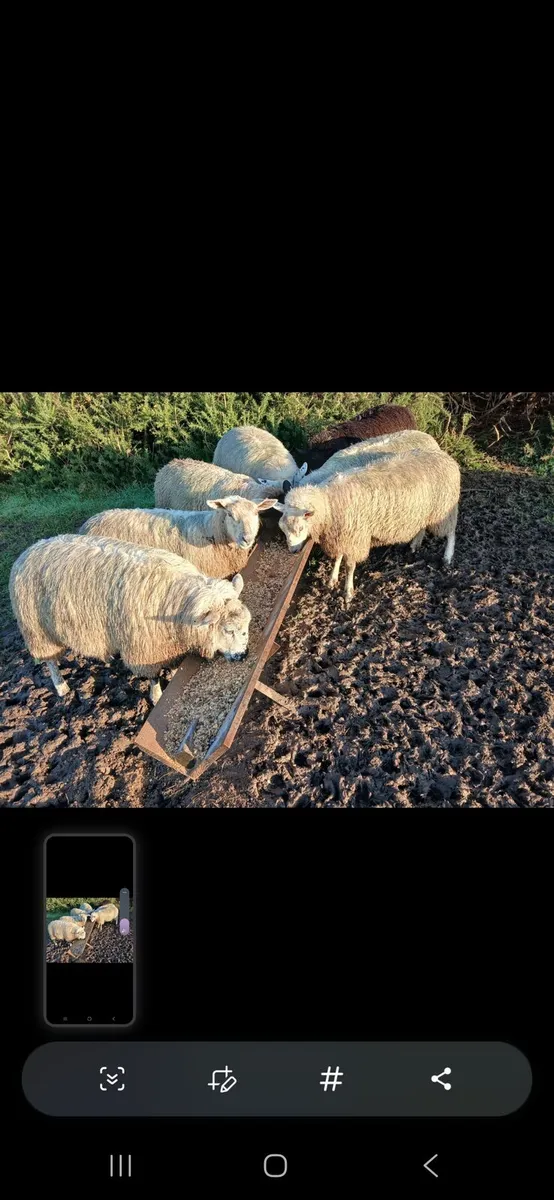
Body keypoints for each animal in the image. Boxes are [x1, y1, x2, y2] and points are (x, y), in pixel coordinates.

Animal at [9, 534, 251, 705]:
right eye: (228, 630)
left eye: (246, 626)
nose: (244, 655)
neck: (178, 601)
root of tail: (28, 551)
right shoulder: (145, 648)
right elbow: (153, 677)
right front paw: (156, 696)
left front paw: (172, 675)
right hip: (37, 630)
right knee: (49, 661)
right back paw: (61, 687)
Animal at [276, 449, 460, 603]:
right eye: (282, 528)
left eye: (300, 528)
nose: (292, 551)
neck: (329, 503)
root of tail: (447, 457)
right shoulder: (341, 534)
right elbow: (338, 557)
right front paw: (332, 579)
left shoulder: (354, 535)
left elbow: (349, 566)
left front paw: (348, 592)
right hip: (423, 510)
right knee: (422, 526)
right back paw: (415, 544)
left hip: (444, 510)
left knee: (451, 532)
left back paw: (448, 557)